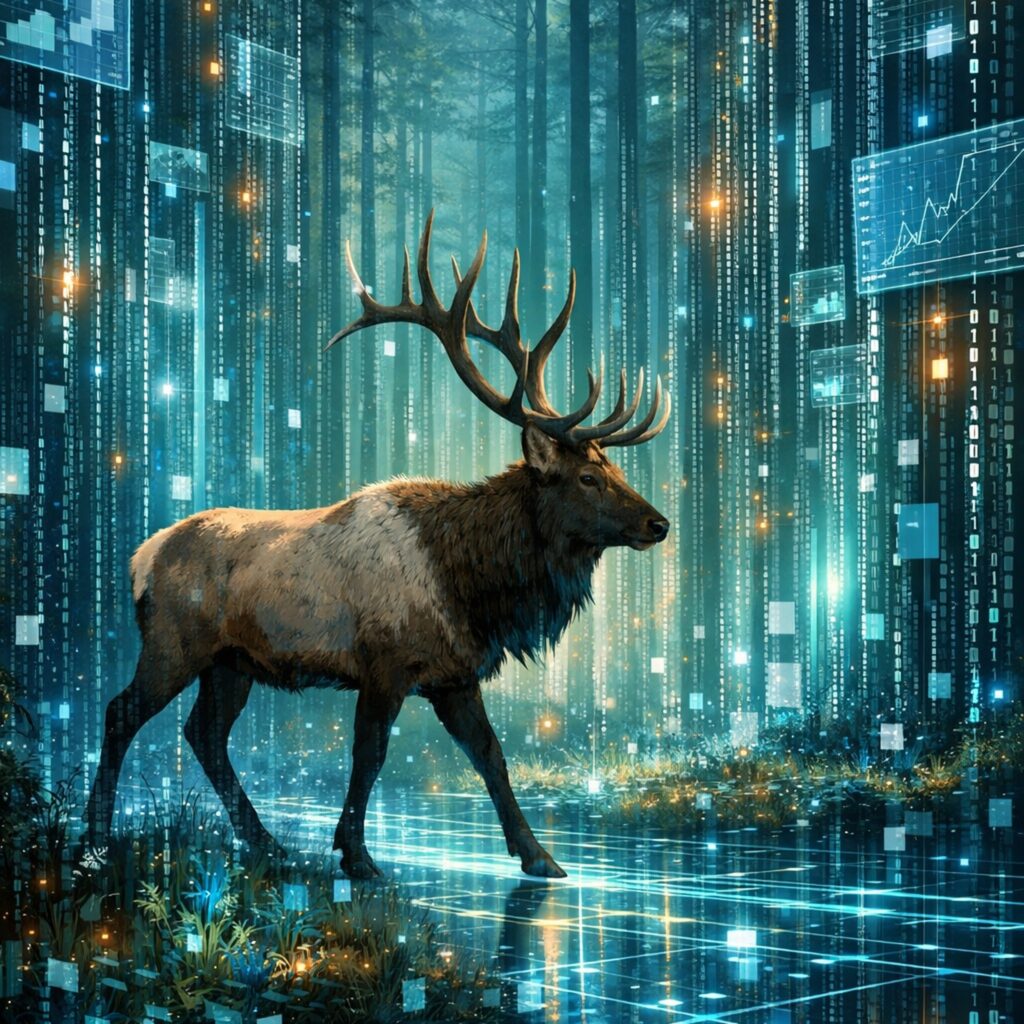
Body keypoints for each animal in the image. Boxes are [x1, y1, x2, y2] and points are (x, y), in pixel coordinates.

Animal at [84, 214, 670, 879]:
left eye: (613, 468)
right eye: (589, 477)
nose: (658, 524)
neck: (471, 584)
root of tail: (140, 558)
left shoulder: (453, 675)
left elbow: (491, 755)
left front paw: (539, 856)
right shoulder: (384, 664)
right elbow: (370, 754)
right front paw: (357, 855)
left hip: (231, 664)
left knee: (203, 735)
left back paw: (267, 843)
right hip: (174, 645)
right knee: (120, 713)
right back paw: (96, 841)